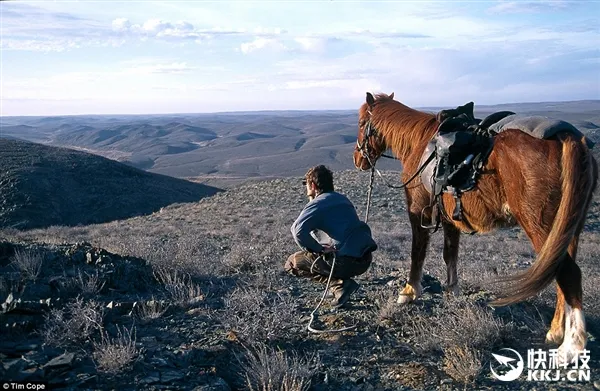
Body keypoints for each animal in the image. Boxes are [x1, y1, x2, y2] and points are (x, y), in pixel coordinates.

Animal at [354, 92, 596, 362]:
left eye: (362, 123)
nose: (358, 160)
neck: (418, 145)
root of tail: (569, 137)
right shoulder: (449, 217)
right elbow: (450, 254)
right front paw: (452, 291)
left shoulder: (418, 210)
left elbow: (417, 253)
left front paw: (408, 292)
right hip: (567, 228)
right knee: (559, 272)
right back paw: (555, 332)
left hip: (541, 224)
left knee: (568, 273)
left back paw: (571, 346)